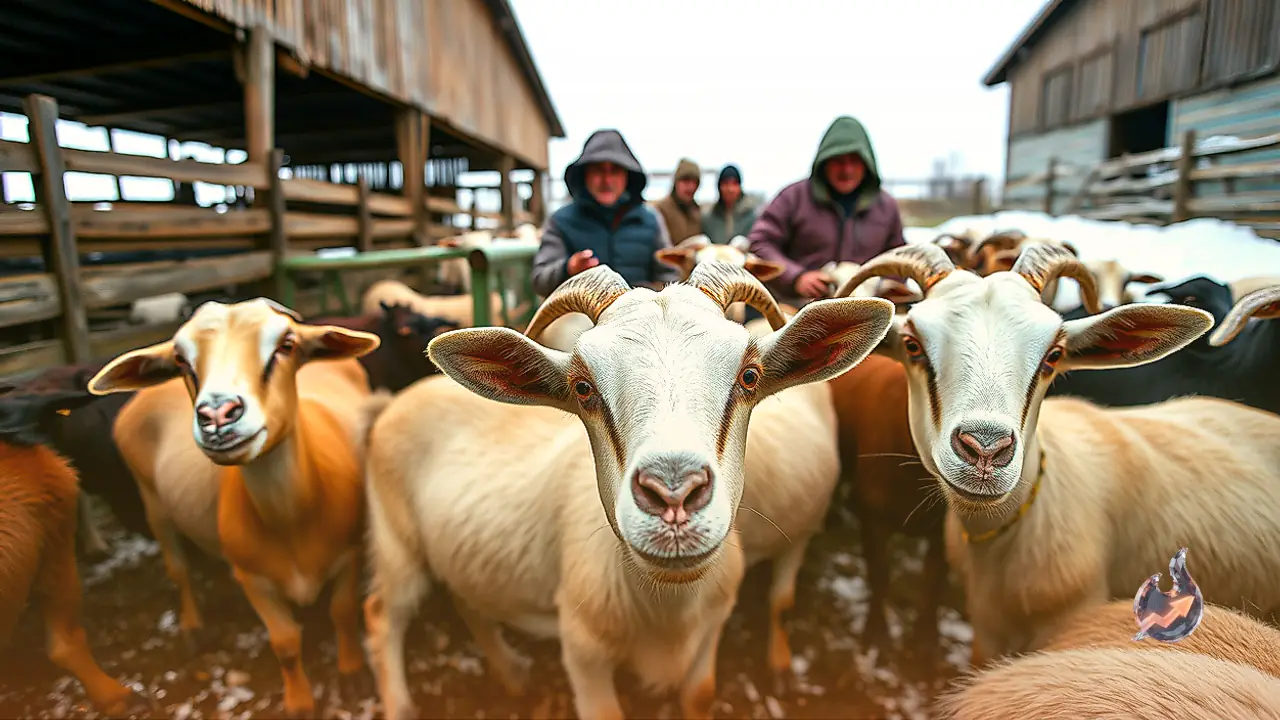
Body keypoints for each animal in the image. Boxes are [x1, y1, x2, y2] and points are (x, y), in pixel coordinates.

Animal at [86, 298, 383, 717]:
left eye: (287, 344)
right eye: (181, 360)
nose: (216, 416)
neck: (290, 517)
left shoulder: (349, 554)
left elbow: (341, 612)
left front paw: (352, 673)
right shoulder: (251, 577)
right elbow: (285, 642)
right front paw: (299, 702)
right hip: (152, 501)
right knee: (177, 567)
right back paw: (193, 627)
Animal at [362, 264, 895, 720]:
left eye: (749, 376)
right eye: (583, 387)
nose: (674, 495)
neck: (665, 613)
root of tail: (399, 398)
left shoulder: (710, 633)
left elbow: (700, 696)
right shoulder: (583, 651)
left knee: (468, 602)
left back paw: (513, 676)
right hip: (396, 544)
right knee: (380, 615)